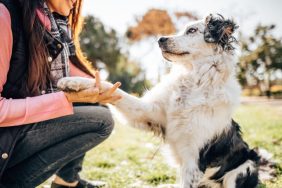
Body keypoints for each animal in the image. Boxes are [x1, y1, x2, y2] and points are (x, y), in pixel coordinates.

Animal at [57, 13, 260, 187]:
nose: (161, 39)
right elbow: (112, 88)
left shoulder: (194, 160)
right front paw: (74, 82)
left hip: (243, 169)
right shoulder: (148, 113)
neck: (194, 80)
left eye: (192, 30)